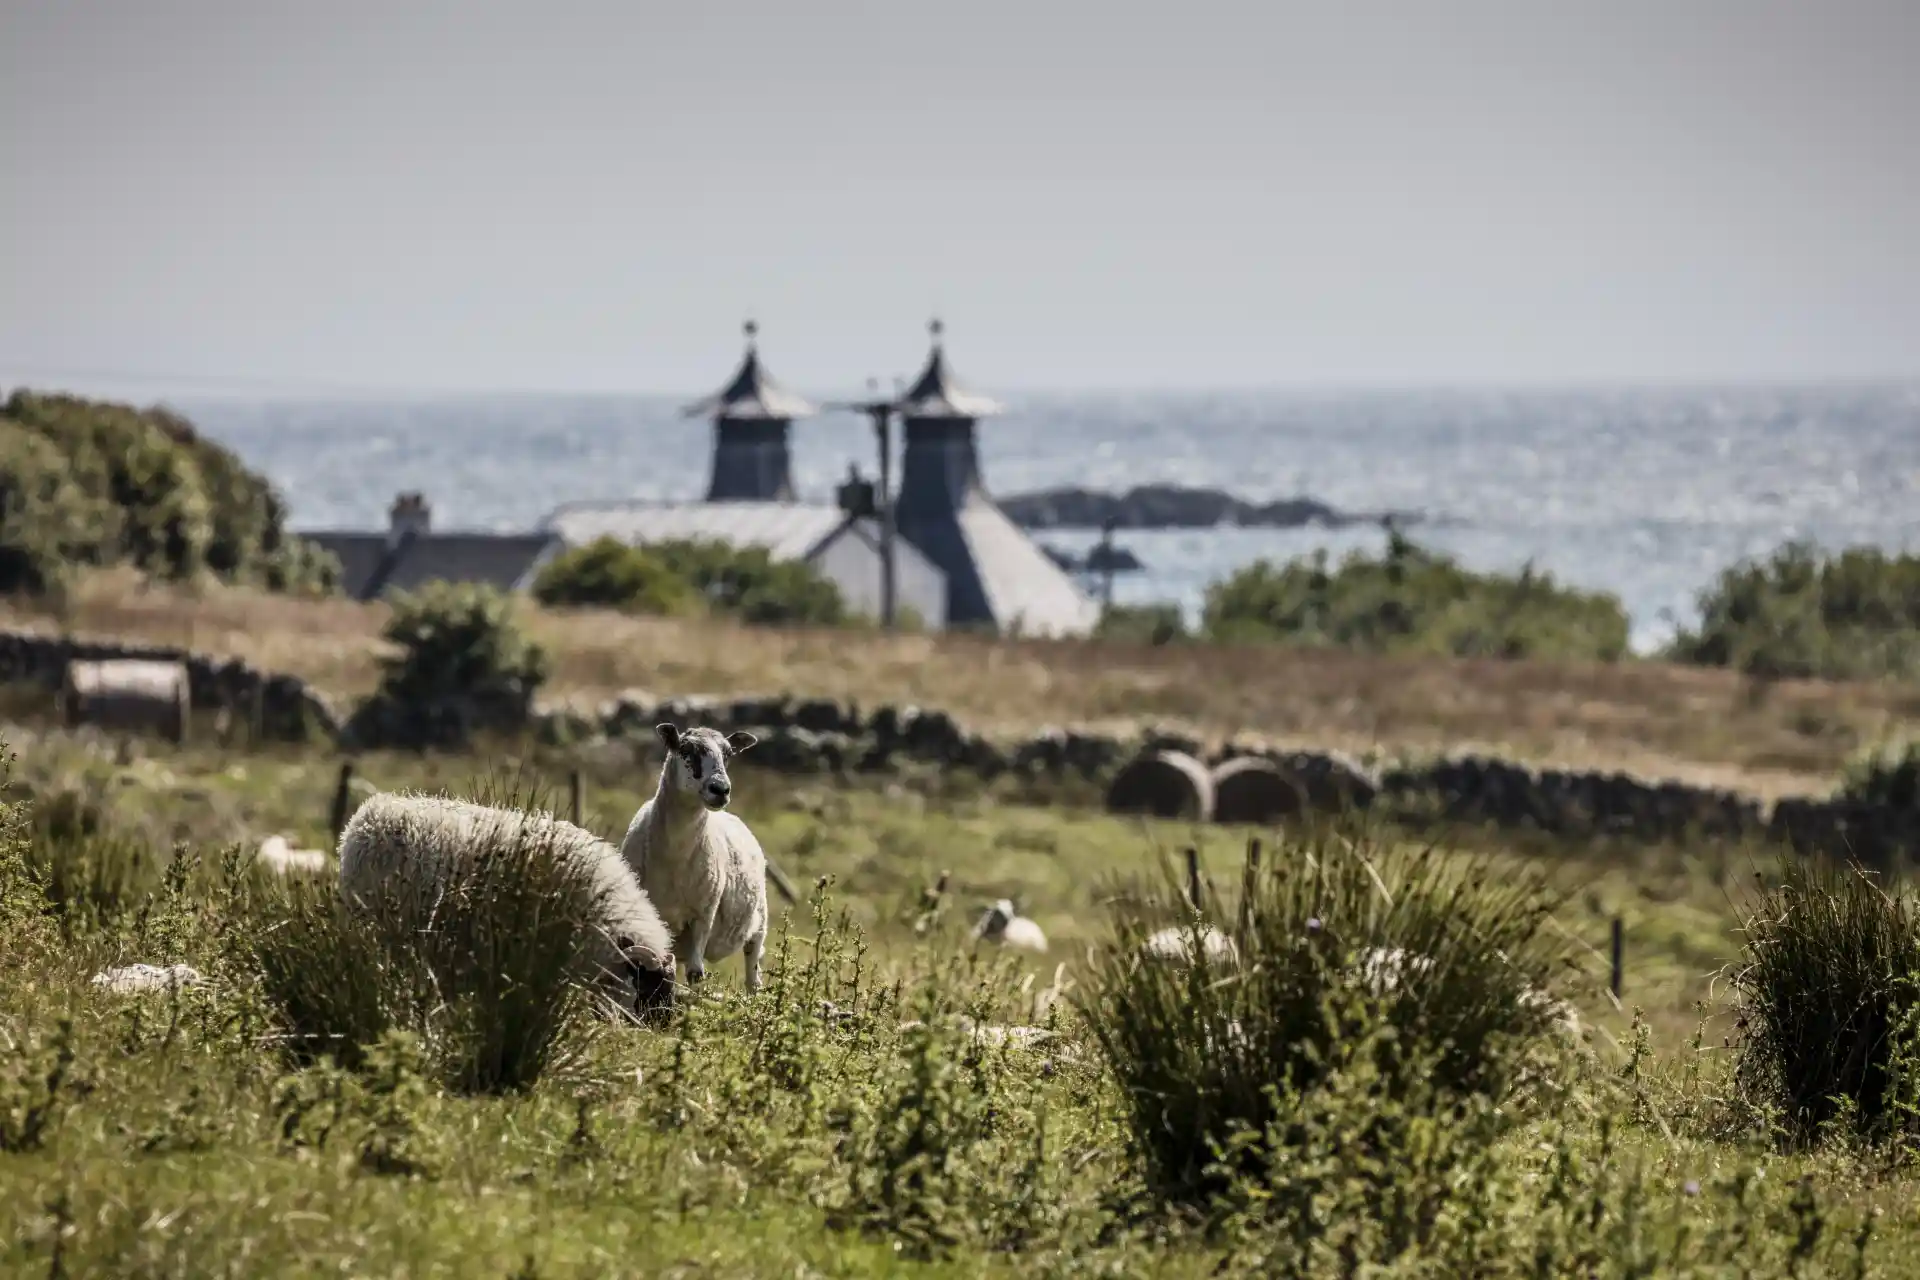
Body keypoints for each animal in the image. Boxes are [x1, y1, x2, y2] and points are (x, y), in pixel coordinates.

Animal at [614, 725, 764, 997]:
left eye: (728, 754)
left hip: (759, 923)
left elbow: (696, 974)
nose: (721, 789)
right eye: (685, 749)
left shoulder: (703, 915)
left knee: (753, 971)